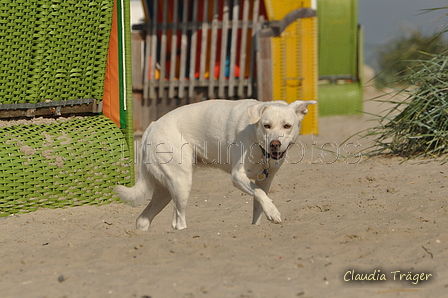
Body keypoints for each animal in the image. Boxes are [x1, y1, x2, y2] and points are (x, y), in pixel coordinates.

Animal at [117, 99, 316, 229]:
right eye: (266, 125)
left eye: (287, 126)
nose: (275, 144)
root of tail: (152, 126)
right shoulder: (237, 177)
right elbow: (259, 193)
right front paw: (274, 212)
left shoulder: (265, 181)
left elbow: (259, 202)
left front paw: (262, 220)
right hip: (181, 183)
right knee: (177, 221)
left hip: (165, 190)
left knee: (143, 219)